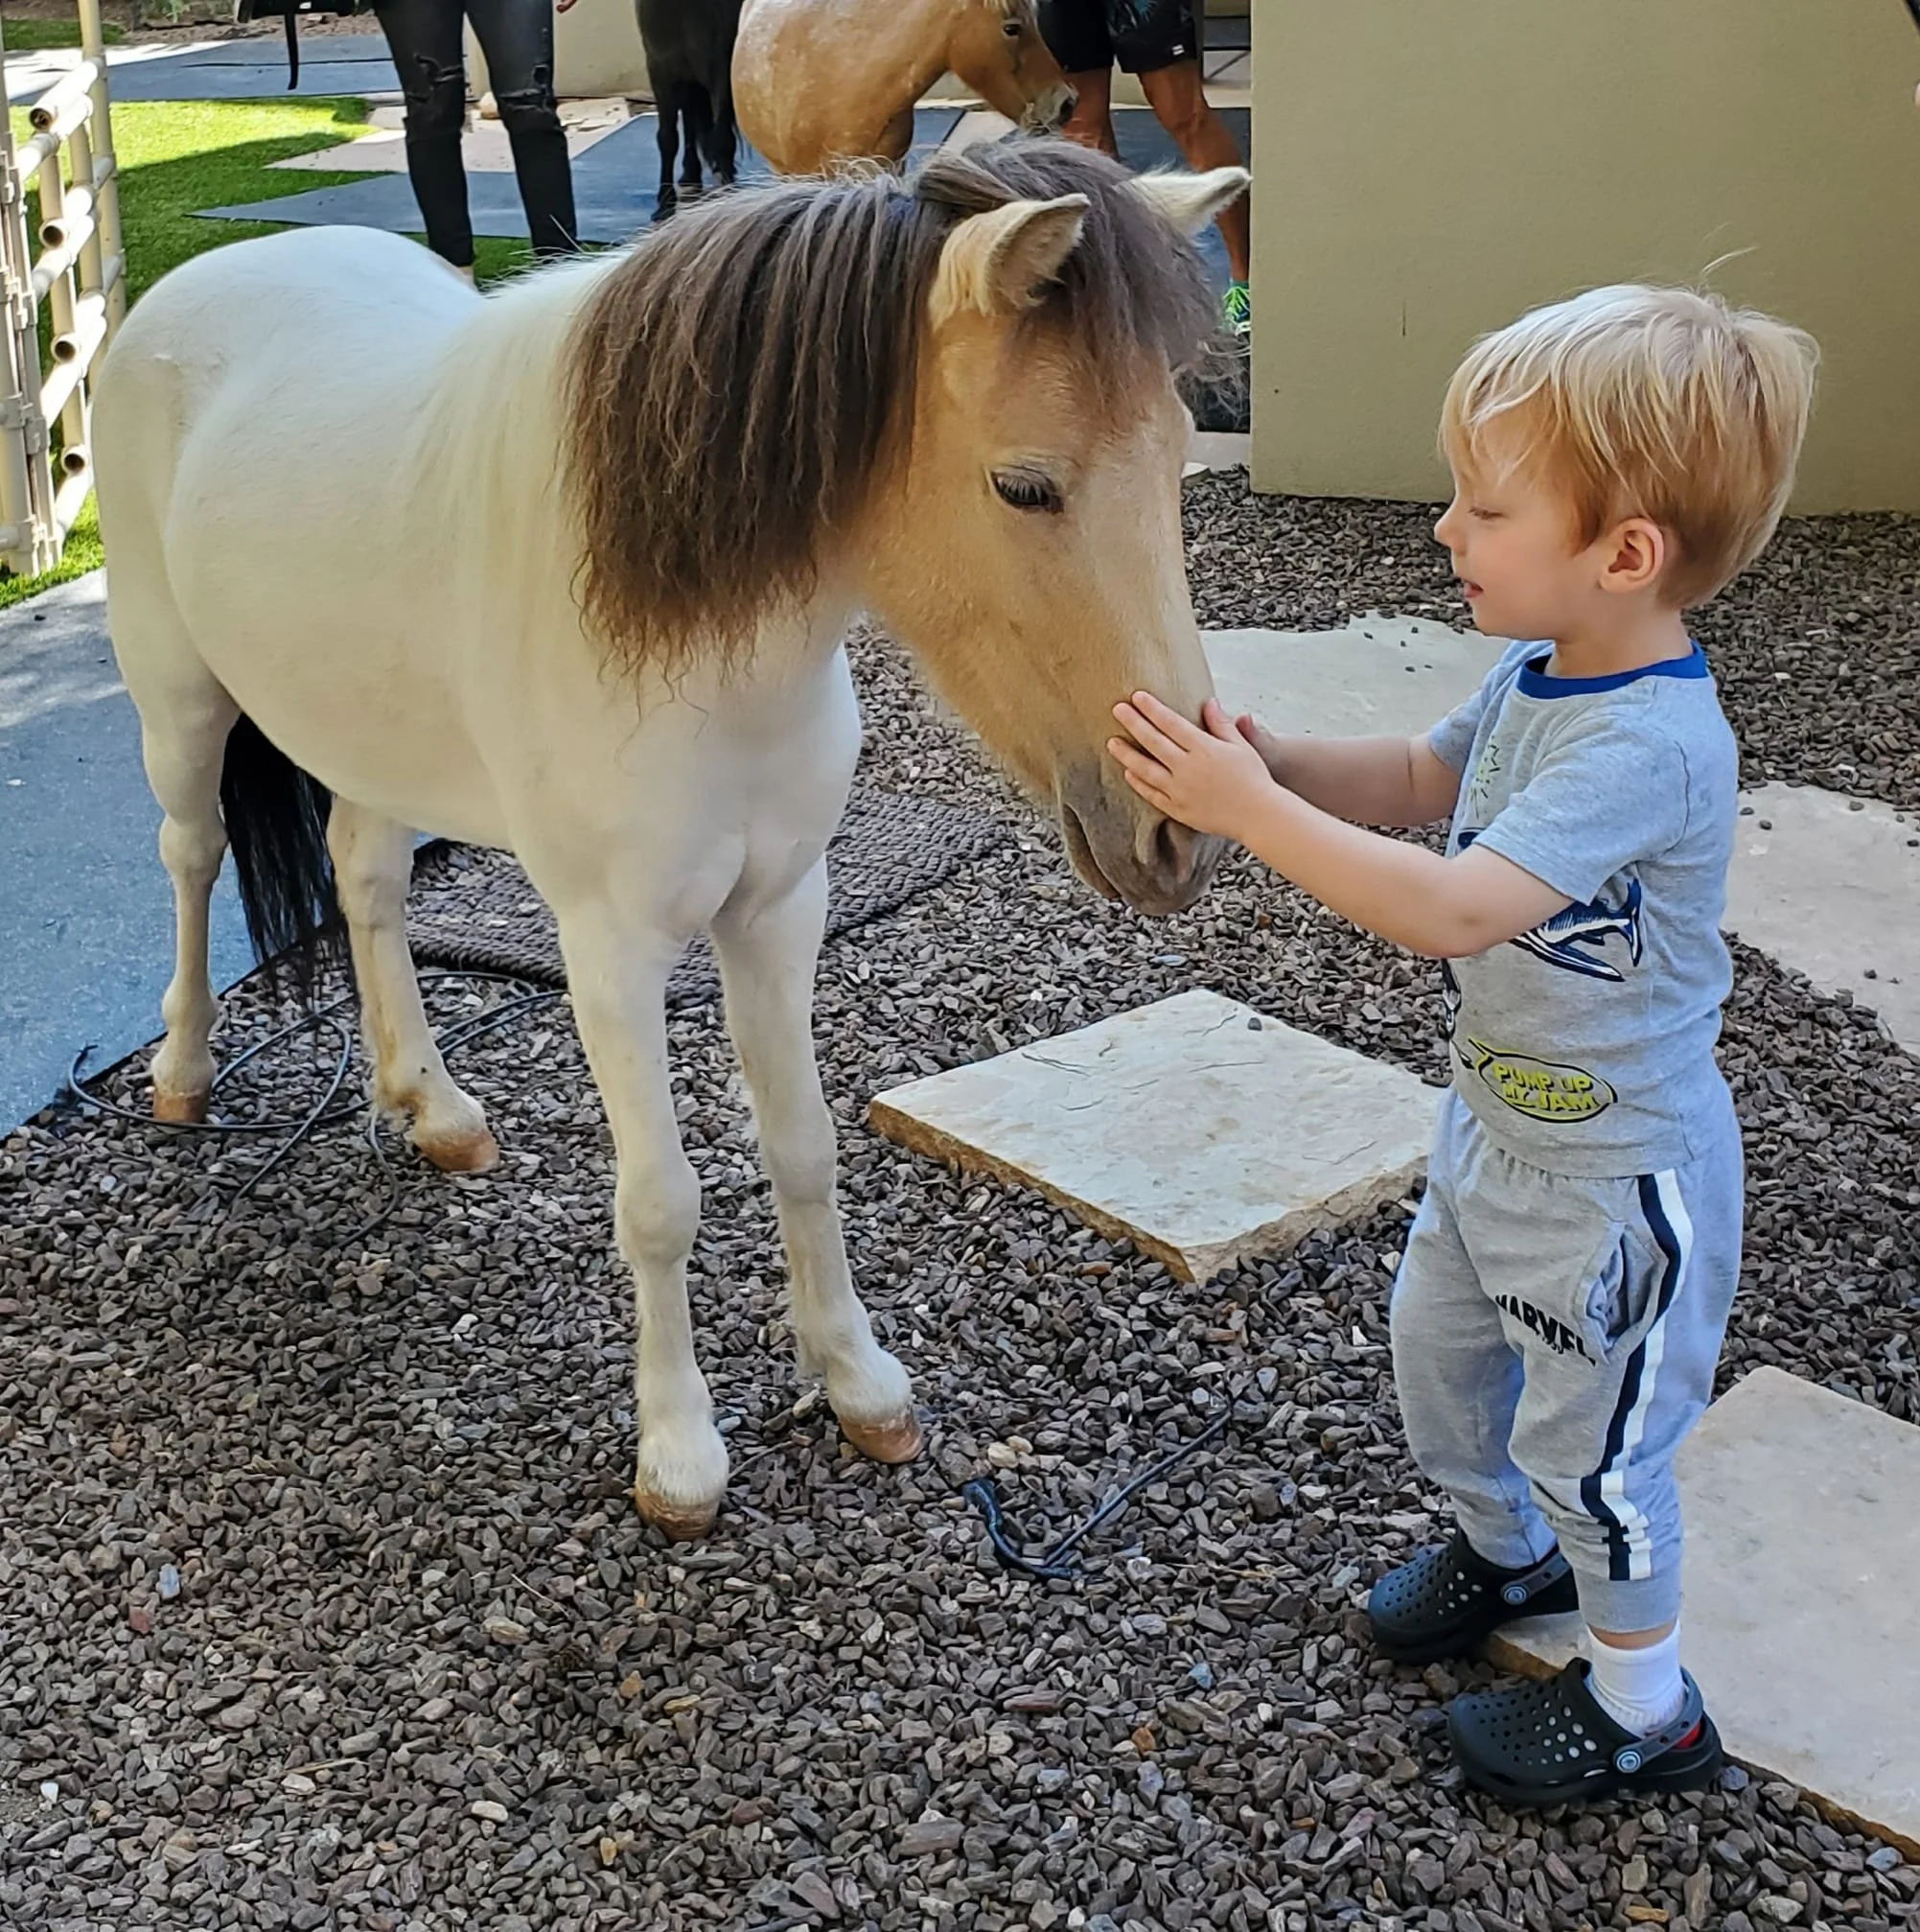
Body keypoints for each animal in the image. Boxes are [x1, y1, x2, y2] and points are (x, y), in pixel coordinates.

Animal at [91, 139, 1243, 1541]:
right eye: (1024, 484)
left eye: (1177, 452)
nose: (1173, 827)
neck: (695, 641)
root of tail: (208, 274)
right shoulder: (612, 949)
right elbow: (660, 1200)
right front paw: (680, 1452)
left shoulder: (779, 908)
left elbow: (800, 1145)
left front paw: (856, 1381)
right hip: (179, 705)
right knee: (190, 854)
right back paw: (185, 1072)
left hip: (370, 737)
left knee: (363, 873)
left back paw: (429, 1102)